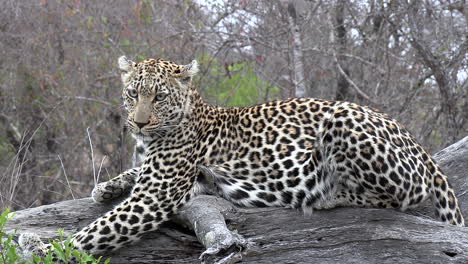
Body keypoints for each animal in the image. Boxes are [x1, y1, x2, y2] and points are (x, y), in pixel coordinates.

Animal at [18, 55, 464, 260]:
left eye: (158, 97)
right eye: (132, 93)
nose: (139, 122)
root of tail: (414, 138)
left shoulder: (156, 195)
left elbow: (93, 233)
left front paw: (41, 250)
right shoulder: (149, 176)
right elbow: (129, 176)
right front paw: (107, 186)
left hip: (343, 119)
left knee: (404, 193)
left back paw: (322, 193)